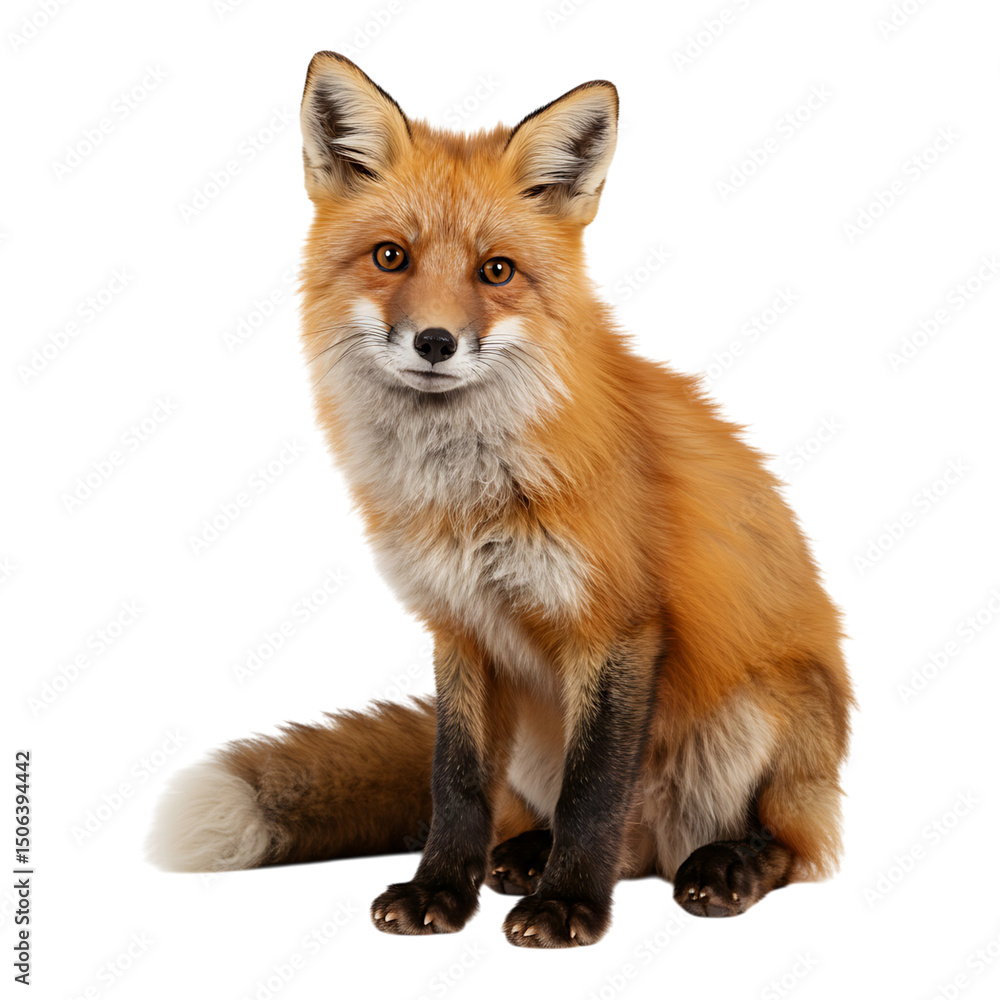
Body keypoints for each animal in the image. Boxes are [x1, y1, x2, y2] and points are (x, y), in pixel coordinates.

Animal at [147, 52, 854, 949]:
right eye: (391, 257)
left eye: (496, 271)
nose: (435, 342)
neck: (469, 497)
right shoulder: (459, 626)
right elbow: (455, 785)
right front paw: (440, 891)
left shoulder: (616, 625)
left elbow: (595, 791)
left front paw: (569, 907)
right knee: (589, 833)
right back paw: (524, 855)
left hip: (758, 717)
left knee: (787, 846)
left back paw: (722, 867)